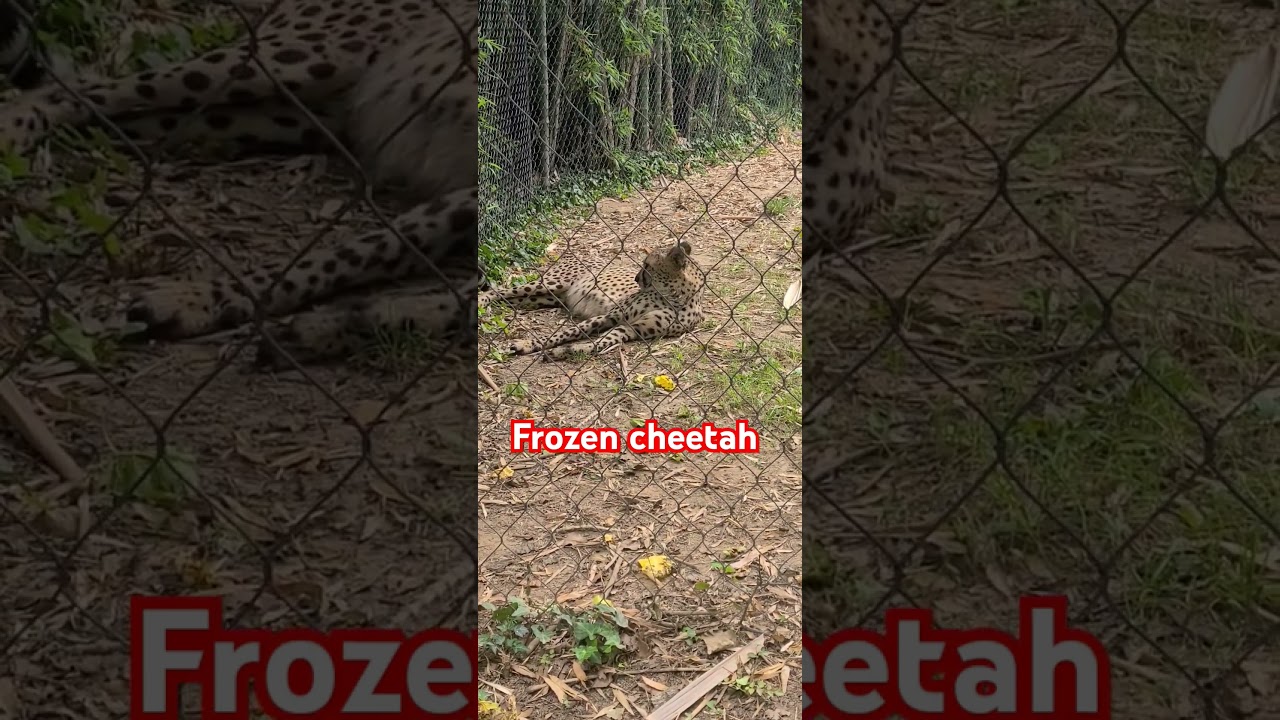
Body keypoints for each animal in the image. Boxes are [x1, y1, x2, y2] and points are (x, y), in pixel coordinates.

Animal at [0, 0, 478, 367]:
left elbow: (456, 299)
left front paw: (343, 324)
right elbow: (372, 248)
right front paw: (203, 297)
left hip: (289, 117)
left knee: (117, 117)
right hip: (293, 61)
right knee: (81, 88)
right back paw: (12, 132)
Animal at [480, 240, 704, 361]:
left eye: (648, 266)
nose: (636, 278)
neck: (672, 296)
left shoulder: (630, 328)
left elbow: (600, 342)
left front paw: (564, 352)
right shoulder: (611, 316)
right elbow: (567, 332)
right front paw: (528, 344)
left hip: (544, 298)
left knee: (510, 299)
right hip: (550, 284)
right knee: (501, 291)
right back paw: (481, 301)